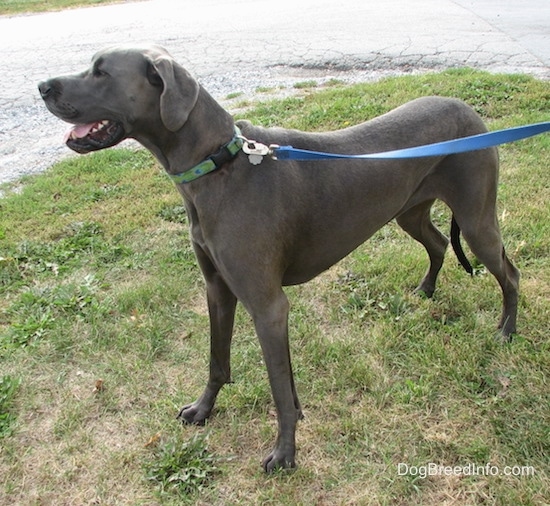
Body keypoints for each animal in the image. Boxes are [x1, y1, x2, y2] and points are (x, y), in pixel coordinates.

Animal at [41, 45, 520, 472]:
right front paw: (203, 410)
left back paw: (506, 331)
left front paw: (285, 455)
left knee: (509, 272)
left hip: (476, 220)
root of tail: (470, 111)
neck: (219, 164)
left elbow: (276, 389)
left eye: (102, 72)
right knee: (438, 243)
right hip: (410, 211)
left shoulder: (267, 306)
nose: (43, 86)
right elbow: (221, 362)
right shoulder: (218, 289)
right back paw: (426, 291)